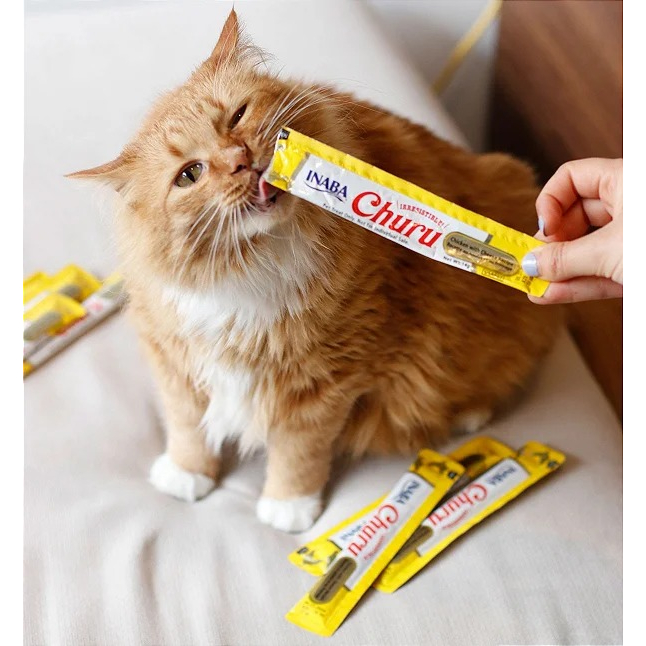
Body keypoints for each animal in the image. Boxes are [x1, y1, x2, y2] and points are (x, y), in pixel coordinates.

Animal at [70, 9, 559, 532]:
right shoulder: (176, 360)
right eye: (190, 175)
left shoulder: (324, 381)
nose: (240, 161)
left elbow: (298, 452)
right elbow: (187, 425)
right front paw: (186, 474)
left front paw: (288, 508)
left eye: (237, 117)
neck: (254, 265)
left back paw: (470, 415)